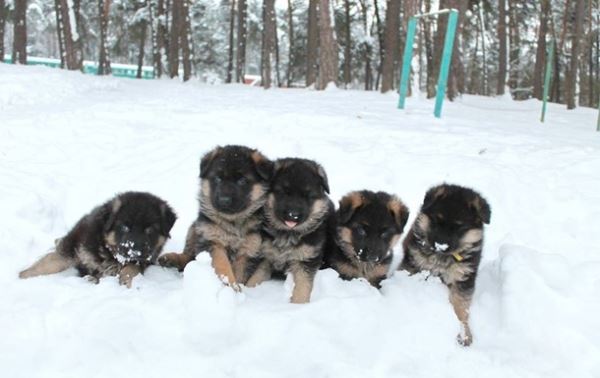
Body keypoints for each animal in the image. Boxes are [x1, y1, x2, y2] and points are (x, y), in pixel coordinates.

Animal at [18, 192, 177, 286]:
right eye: (124, 227)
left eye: (150, 230)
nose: (135, 251)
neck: (107, 251)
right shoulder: (73, 246)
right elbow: (49, 263)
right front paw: (21, 277)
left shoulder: (144, 261)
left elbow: (132, 268)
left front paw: (126, 280)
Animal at [158, 145, 274, 290]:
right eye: (218, 179)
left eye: (242, 181)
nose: (224, 200)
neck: (232, 221)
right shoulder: (211, 240)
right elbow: (222, 265)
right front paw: (230, 286)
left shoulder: (249, 250)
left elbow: (240, 273)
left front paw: (236, 288)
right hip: (195, 228)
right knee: (188, 256)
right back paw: (170, 259)